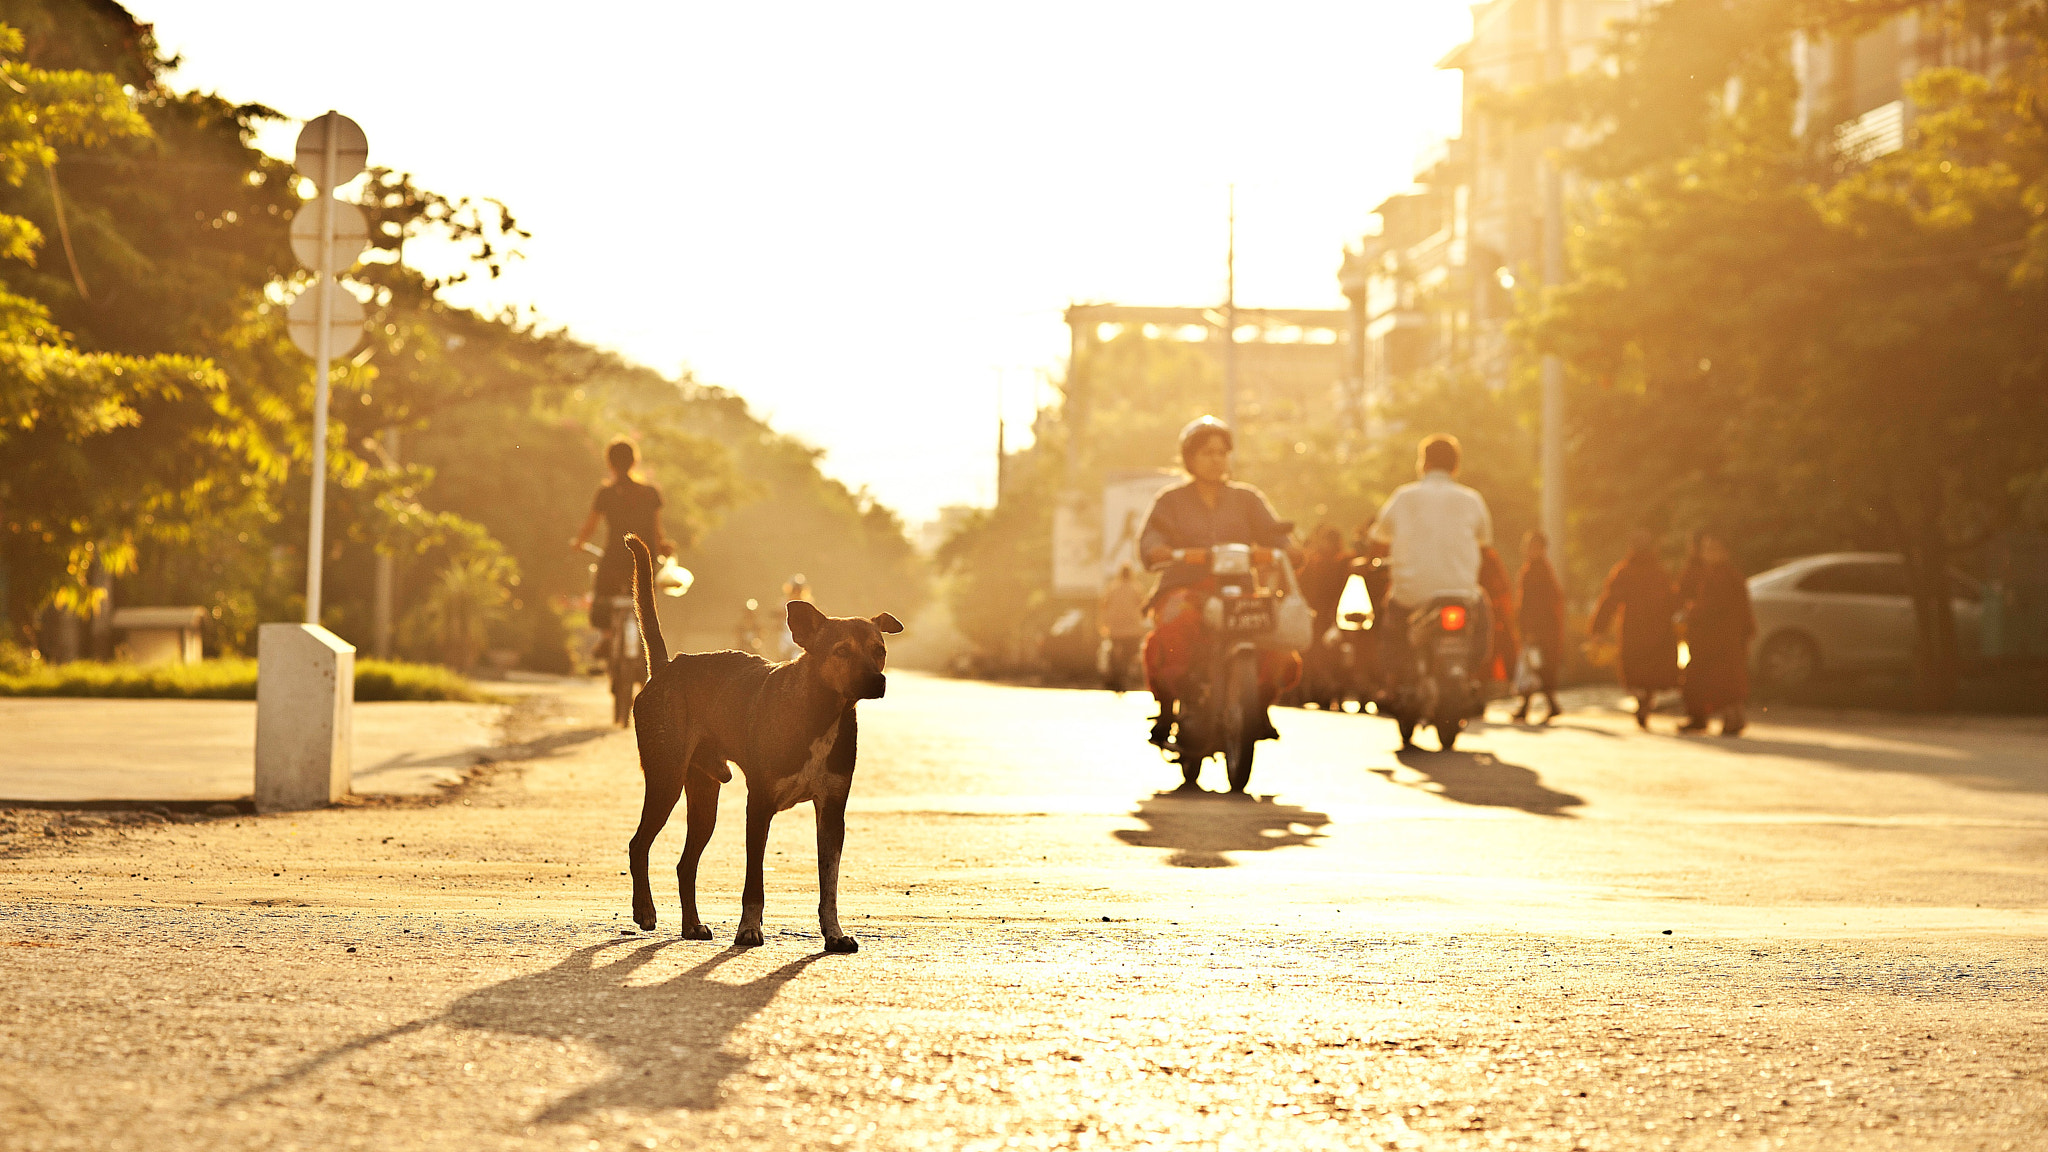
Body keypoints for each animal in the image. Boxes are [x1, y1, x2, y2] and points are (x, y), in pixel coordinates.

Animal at [618, 532, 901, 947]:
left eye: (879, 651)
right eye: (841, 651)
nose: (876, 681)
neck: (819, 713)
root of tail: (667, 667)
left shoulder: (833, 812)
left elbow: (829, 884)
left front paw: (834, 934)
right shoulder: (760, 805)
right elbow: (754, 882)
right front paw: (749, 928)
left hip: (704, 797)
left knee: (686, 864)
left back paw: (692, 925)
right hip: (665, 778)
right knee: (639, 844)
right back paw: (645, 911)